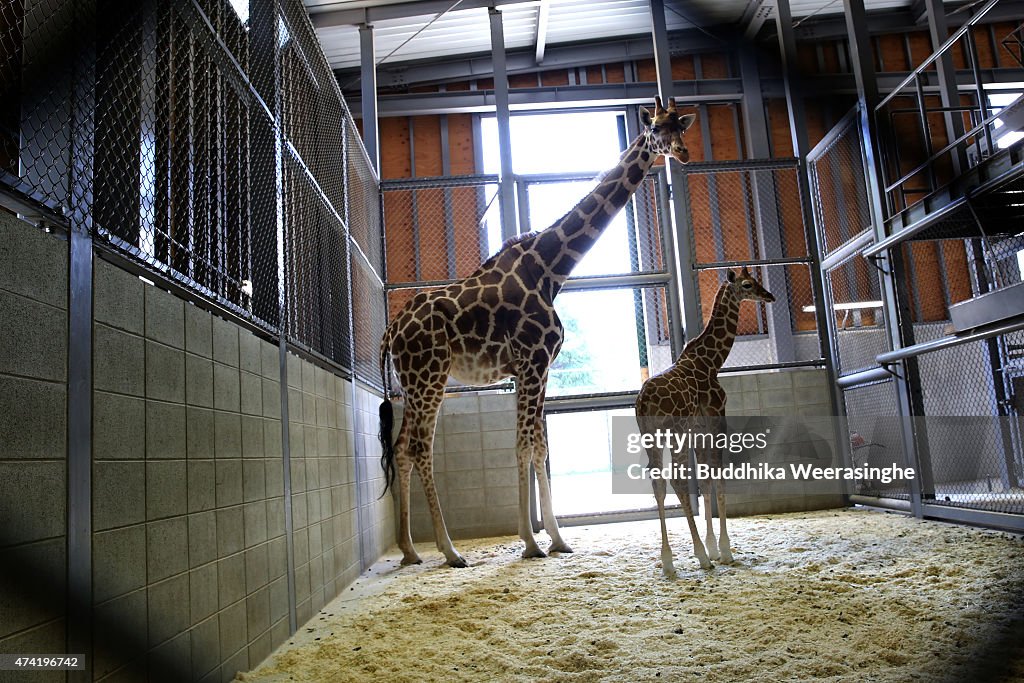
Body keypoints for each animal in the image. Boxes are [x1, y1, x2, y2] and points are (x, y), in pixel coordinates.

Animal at [380, 96, 700, 565]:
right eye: (656, 127)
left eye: (681, 126)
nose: (682, 153)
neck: (551, 269)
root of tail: (391, 332)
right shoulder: (531, 363)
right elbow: (523, 445)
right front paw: (530, 542)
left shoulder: (541, 368)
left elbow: (540, 446)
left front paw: (557, 538)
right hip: (429, 377)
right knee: (420, 447)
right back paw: (450, 550)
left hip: (412, 382)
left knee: (403, 448)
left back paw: (409, 550)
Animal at [630, 266, 774, 577]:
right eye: (748, 284)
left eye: (757, 280)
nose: (769, 296)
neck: (713, 362)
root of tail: (643, 401)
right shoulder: (716, 416)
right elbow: (718, 475)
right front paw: (724, 550)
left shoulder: (697, 428)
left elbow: (706, 479)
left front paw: (713, 546)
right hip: (674, 431)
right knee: (677, 479)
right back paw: (700, 557)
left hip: (651, 436)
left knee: (658, 482)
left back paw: (669, 561)